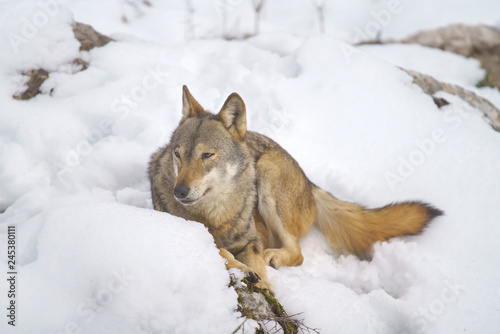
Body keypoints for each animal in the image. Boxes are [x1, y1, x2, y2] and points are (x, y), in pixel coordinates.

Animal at [147, 85, 442, 292]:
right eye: (178, 155)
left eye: (207, 155)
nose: (179, 192)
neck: (217, 214)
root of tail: (309, 183)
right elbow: (221, 251)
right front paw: (245, 270)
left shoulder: (253, 241)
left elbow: (257, 264)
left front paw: (265, 284)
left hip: (267, 173)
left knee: (297, 253)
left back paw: (275, 257)